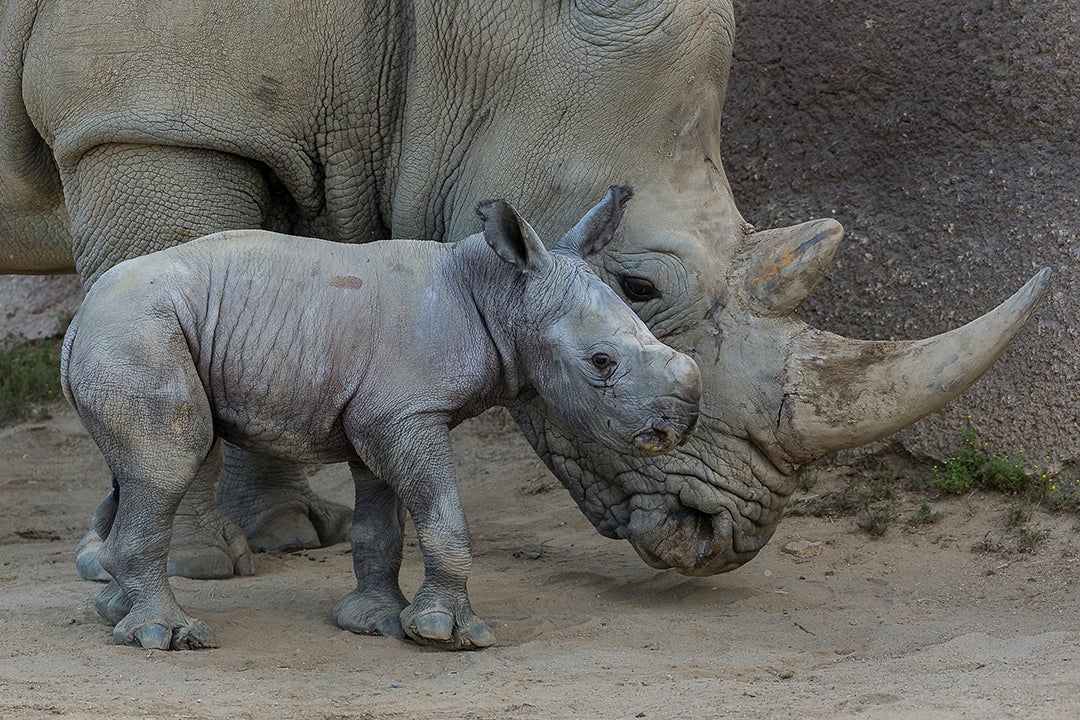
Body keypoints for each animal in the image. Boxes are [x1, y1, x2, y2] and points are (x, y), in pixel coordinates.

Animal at [1, 1, 1049, 582]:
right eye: (635, 284)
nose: (724, 535)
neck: (445, 35)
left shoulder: (300, 123)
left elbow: (271, 289)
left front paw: (292, 535)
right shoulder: (151, 119)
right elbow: (175, 273)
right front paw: (199, 564)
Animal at [62, 188, 701, 650]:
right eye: (602, 363)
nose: (676, 428)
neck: (498, 291)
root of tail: (77, 319)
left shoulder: (375, 416)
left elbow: (381, 527)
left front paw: (375, 622)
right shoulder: (404, 413)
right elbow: (444, 518)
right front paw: (450, 634)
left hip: (128, 334)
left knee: (134, 470)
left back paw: (115, 616)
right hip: (137, 332)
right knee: (171, 460)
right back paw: (168, 635)